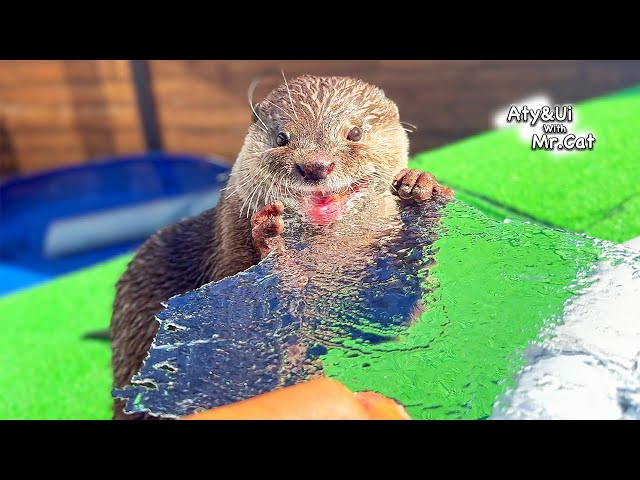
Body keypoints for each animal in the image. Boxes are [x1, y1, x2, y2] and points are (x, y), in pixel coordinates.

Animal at [110, 75, 452, 420]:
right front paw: (272, 245)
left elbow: (389, 320)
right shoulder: (227, 248)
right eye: (281, 138)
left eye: (354, 133)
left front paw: (420, 187)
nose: (315, 165)